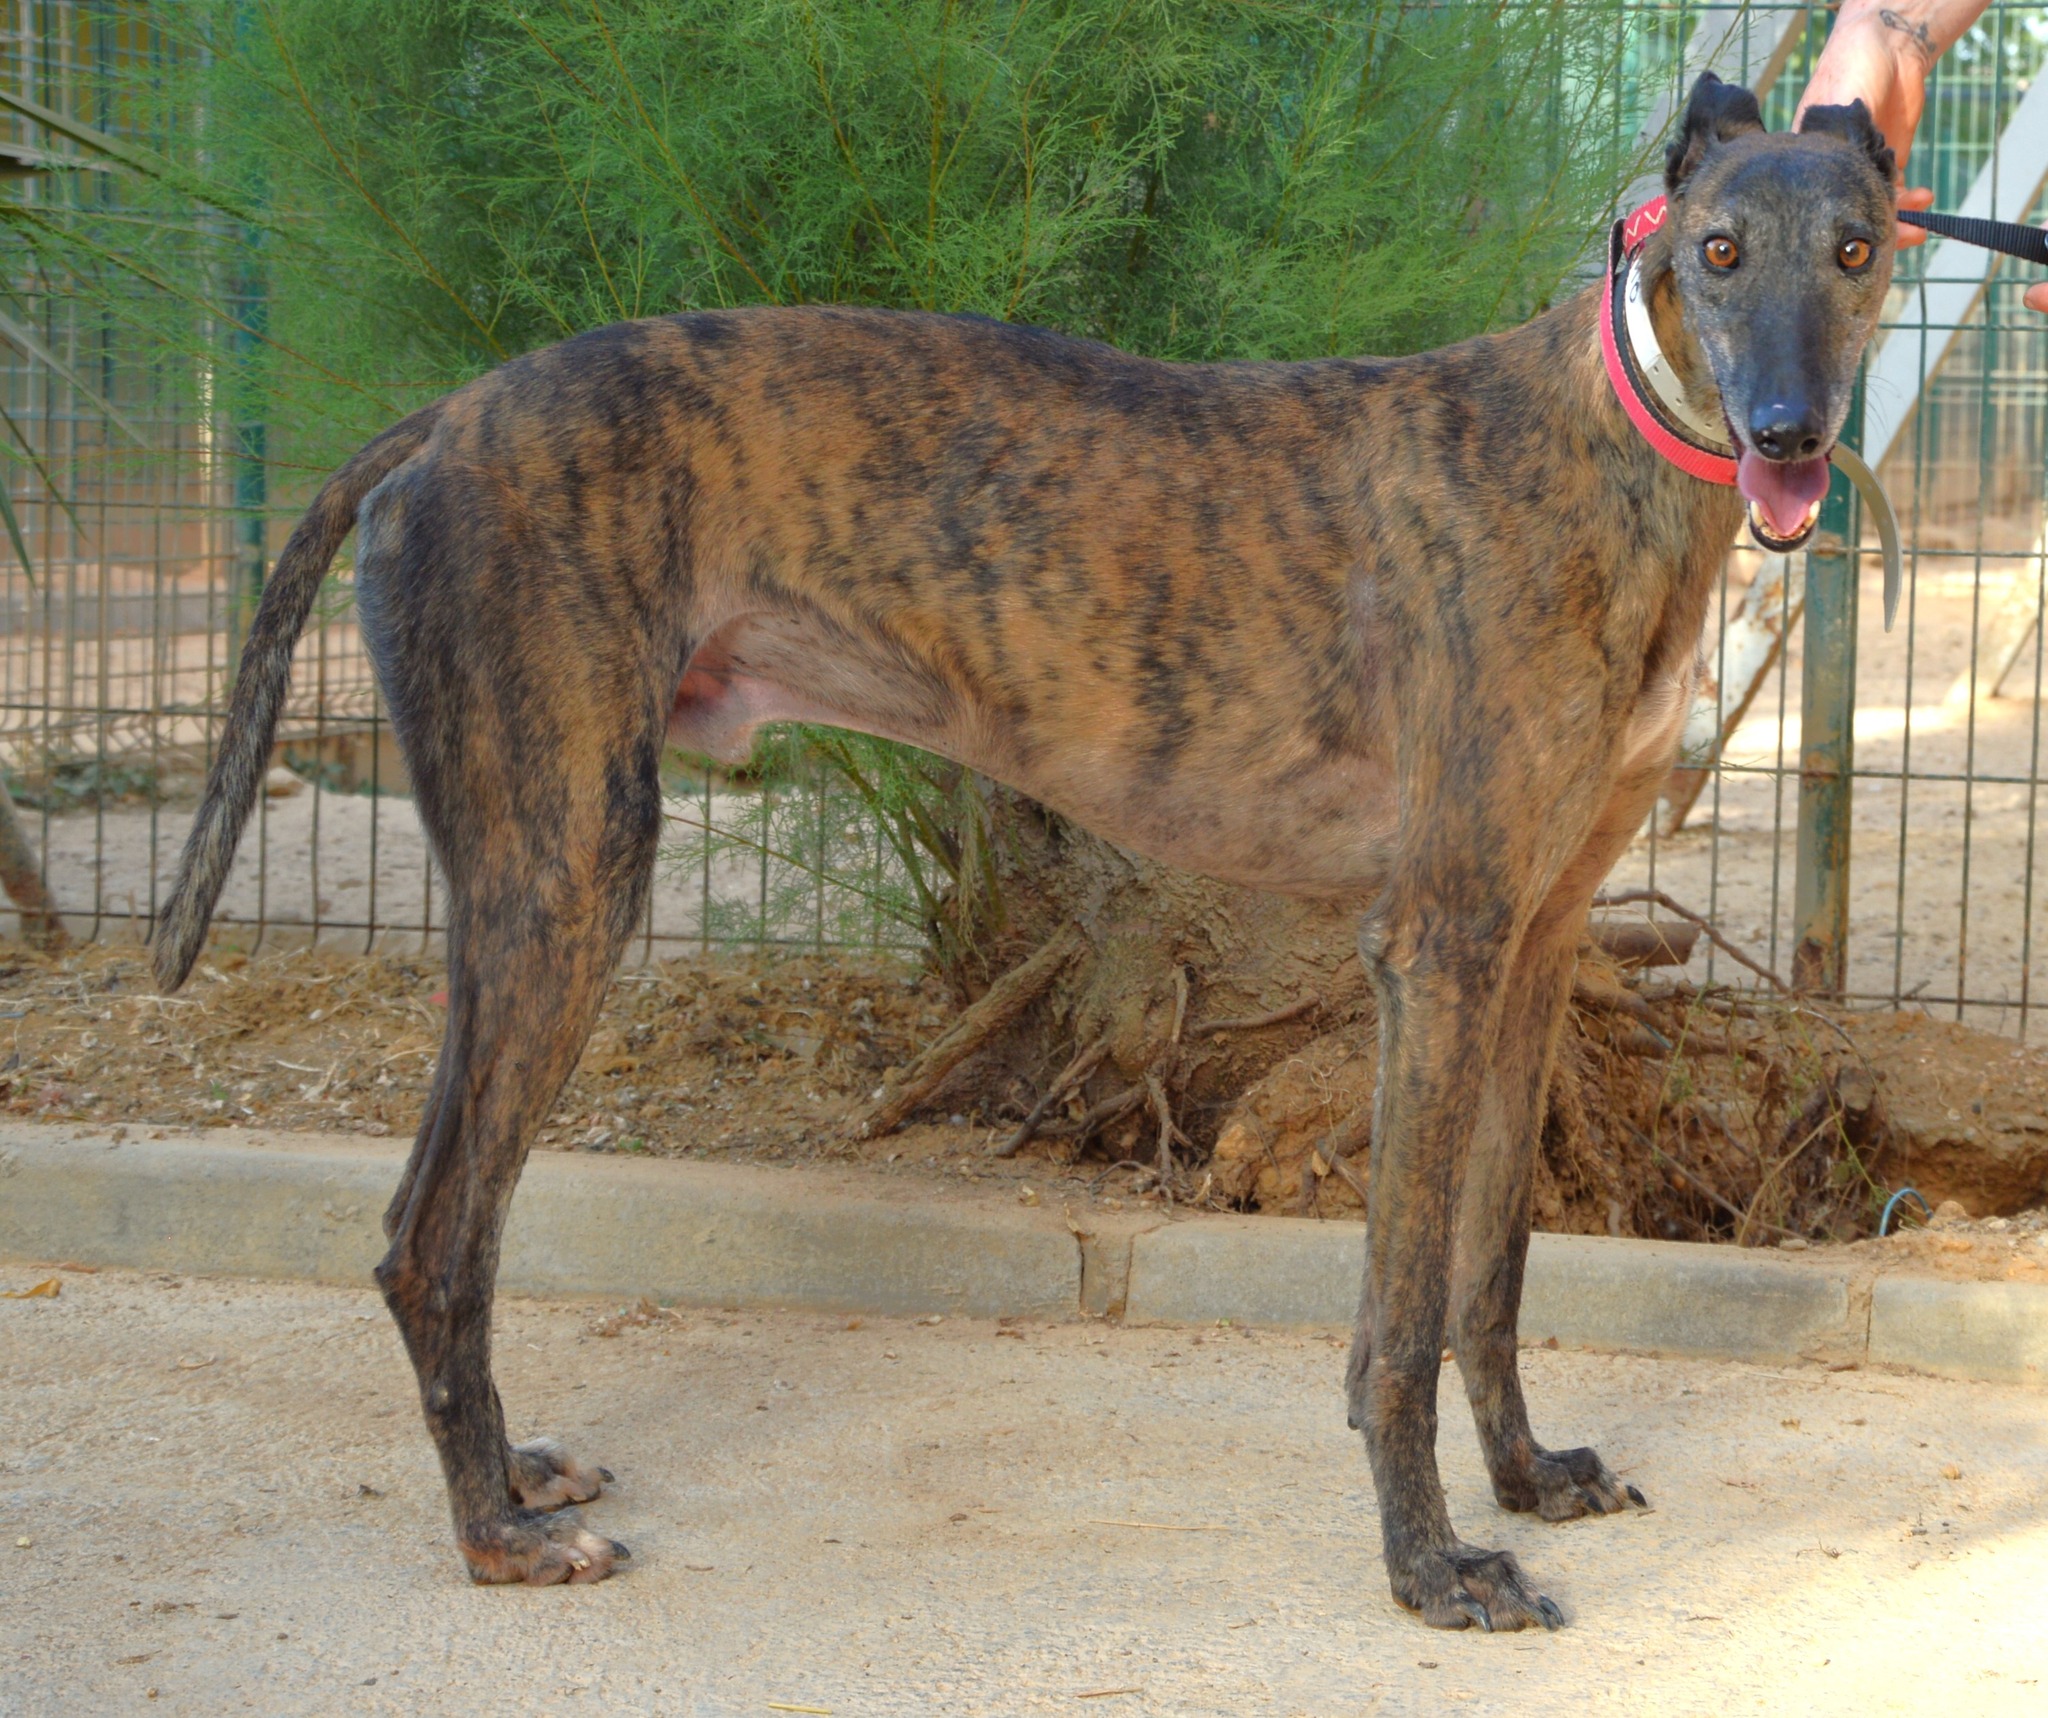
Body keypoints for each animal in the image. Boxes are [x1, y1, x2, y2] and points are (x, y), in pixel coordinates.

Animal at [152, 75, 1896, 1628]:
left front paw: (1527, 1479)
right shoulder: (1440, 944)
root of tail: (448, 415)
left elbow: (1491, 1266)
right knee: (430, 1235)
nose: (1790, 432)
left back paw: (514, 1478)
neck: (1599, 451)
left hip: (536, 880)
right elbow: (1397, 1315)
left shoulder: (1532, 944)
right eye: (1718, 250)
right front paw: (1430, 1567)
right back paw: (495, 1536)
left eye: (1859, 248)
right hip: (565, 874)